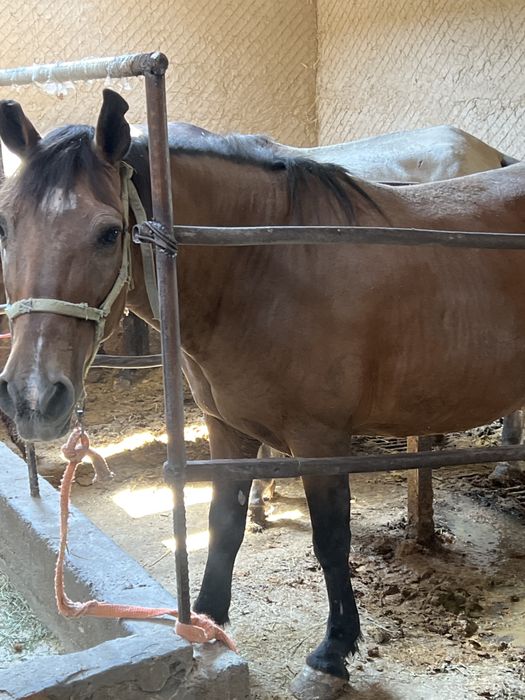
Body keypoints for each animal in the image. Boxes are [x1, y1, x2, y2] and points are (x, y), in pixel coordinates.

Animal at [0, 89, 524, 699]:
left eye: (108, 232)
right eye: (7, 227)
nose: (33, 396)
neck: (263, 268)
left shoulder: (321, 440)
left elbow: (330, 540)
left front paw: (332, 655)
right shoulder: (227, 429)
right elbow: (221, 524)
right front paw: (205, 620)